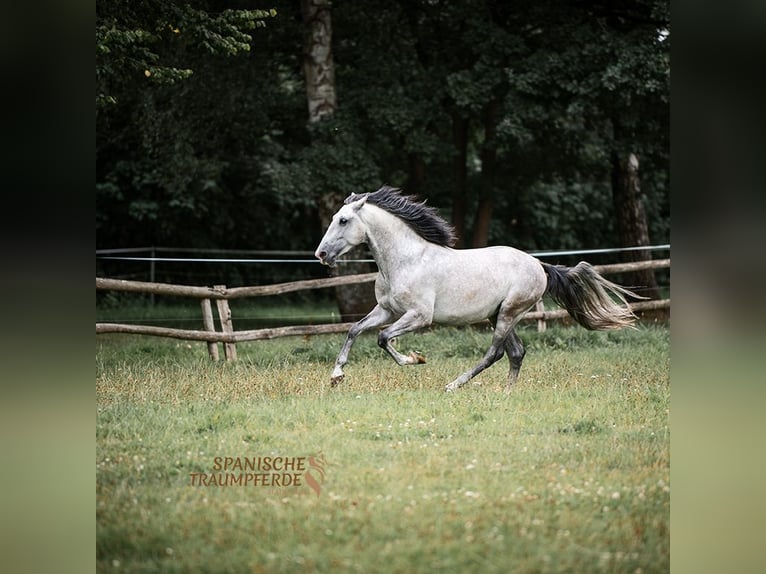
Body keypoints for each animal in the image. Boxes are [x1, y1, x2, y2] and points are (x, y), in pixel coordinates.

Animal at [312, 187, 640, 394]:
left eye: (343, 220)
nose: (321, 254)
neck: (406, 260)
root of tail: (538, 264)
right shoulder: (386, 310)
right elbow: (355, 329)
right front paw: (336, 376)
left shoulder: (419, 316)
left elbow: (382, 338)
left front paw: (415, 359)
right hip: (499, 315)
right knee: (516, 353)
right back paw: (506, 394)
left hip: (509, 313)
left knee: (495, 353)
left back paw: (453, 385)